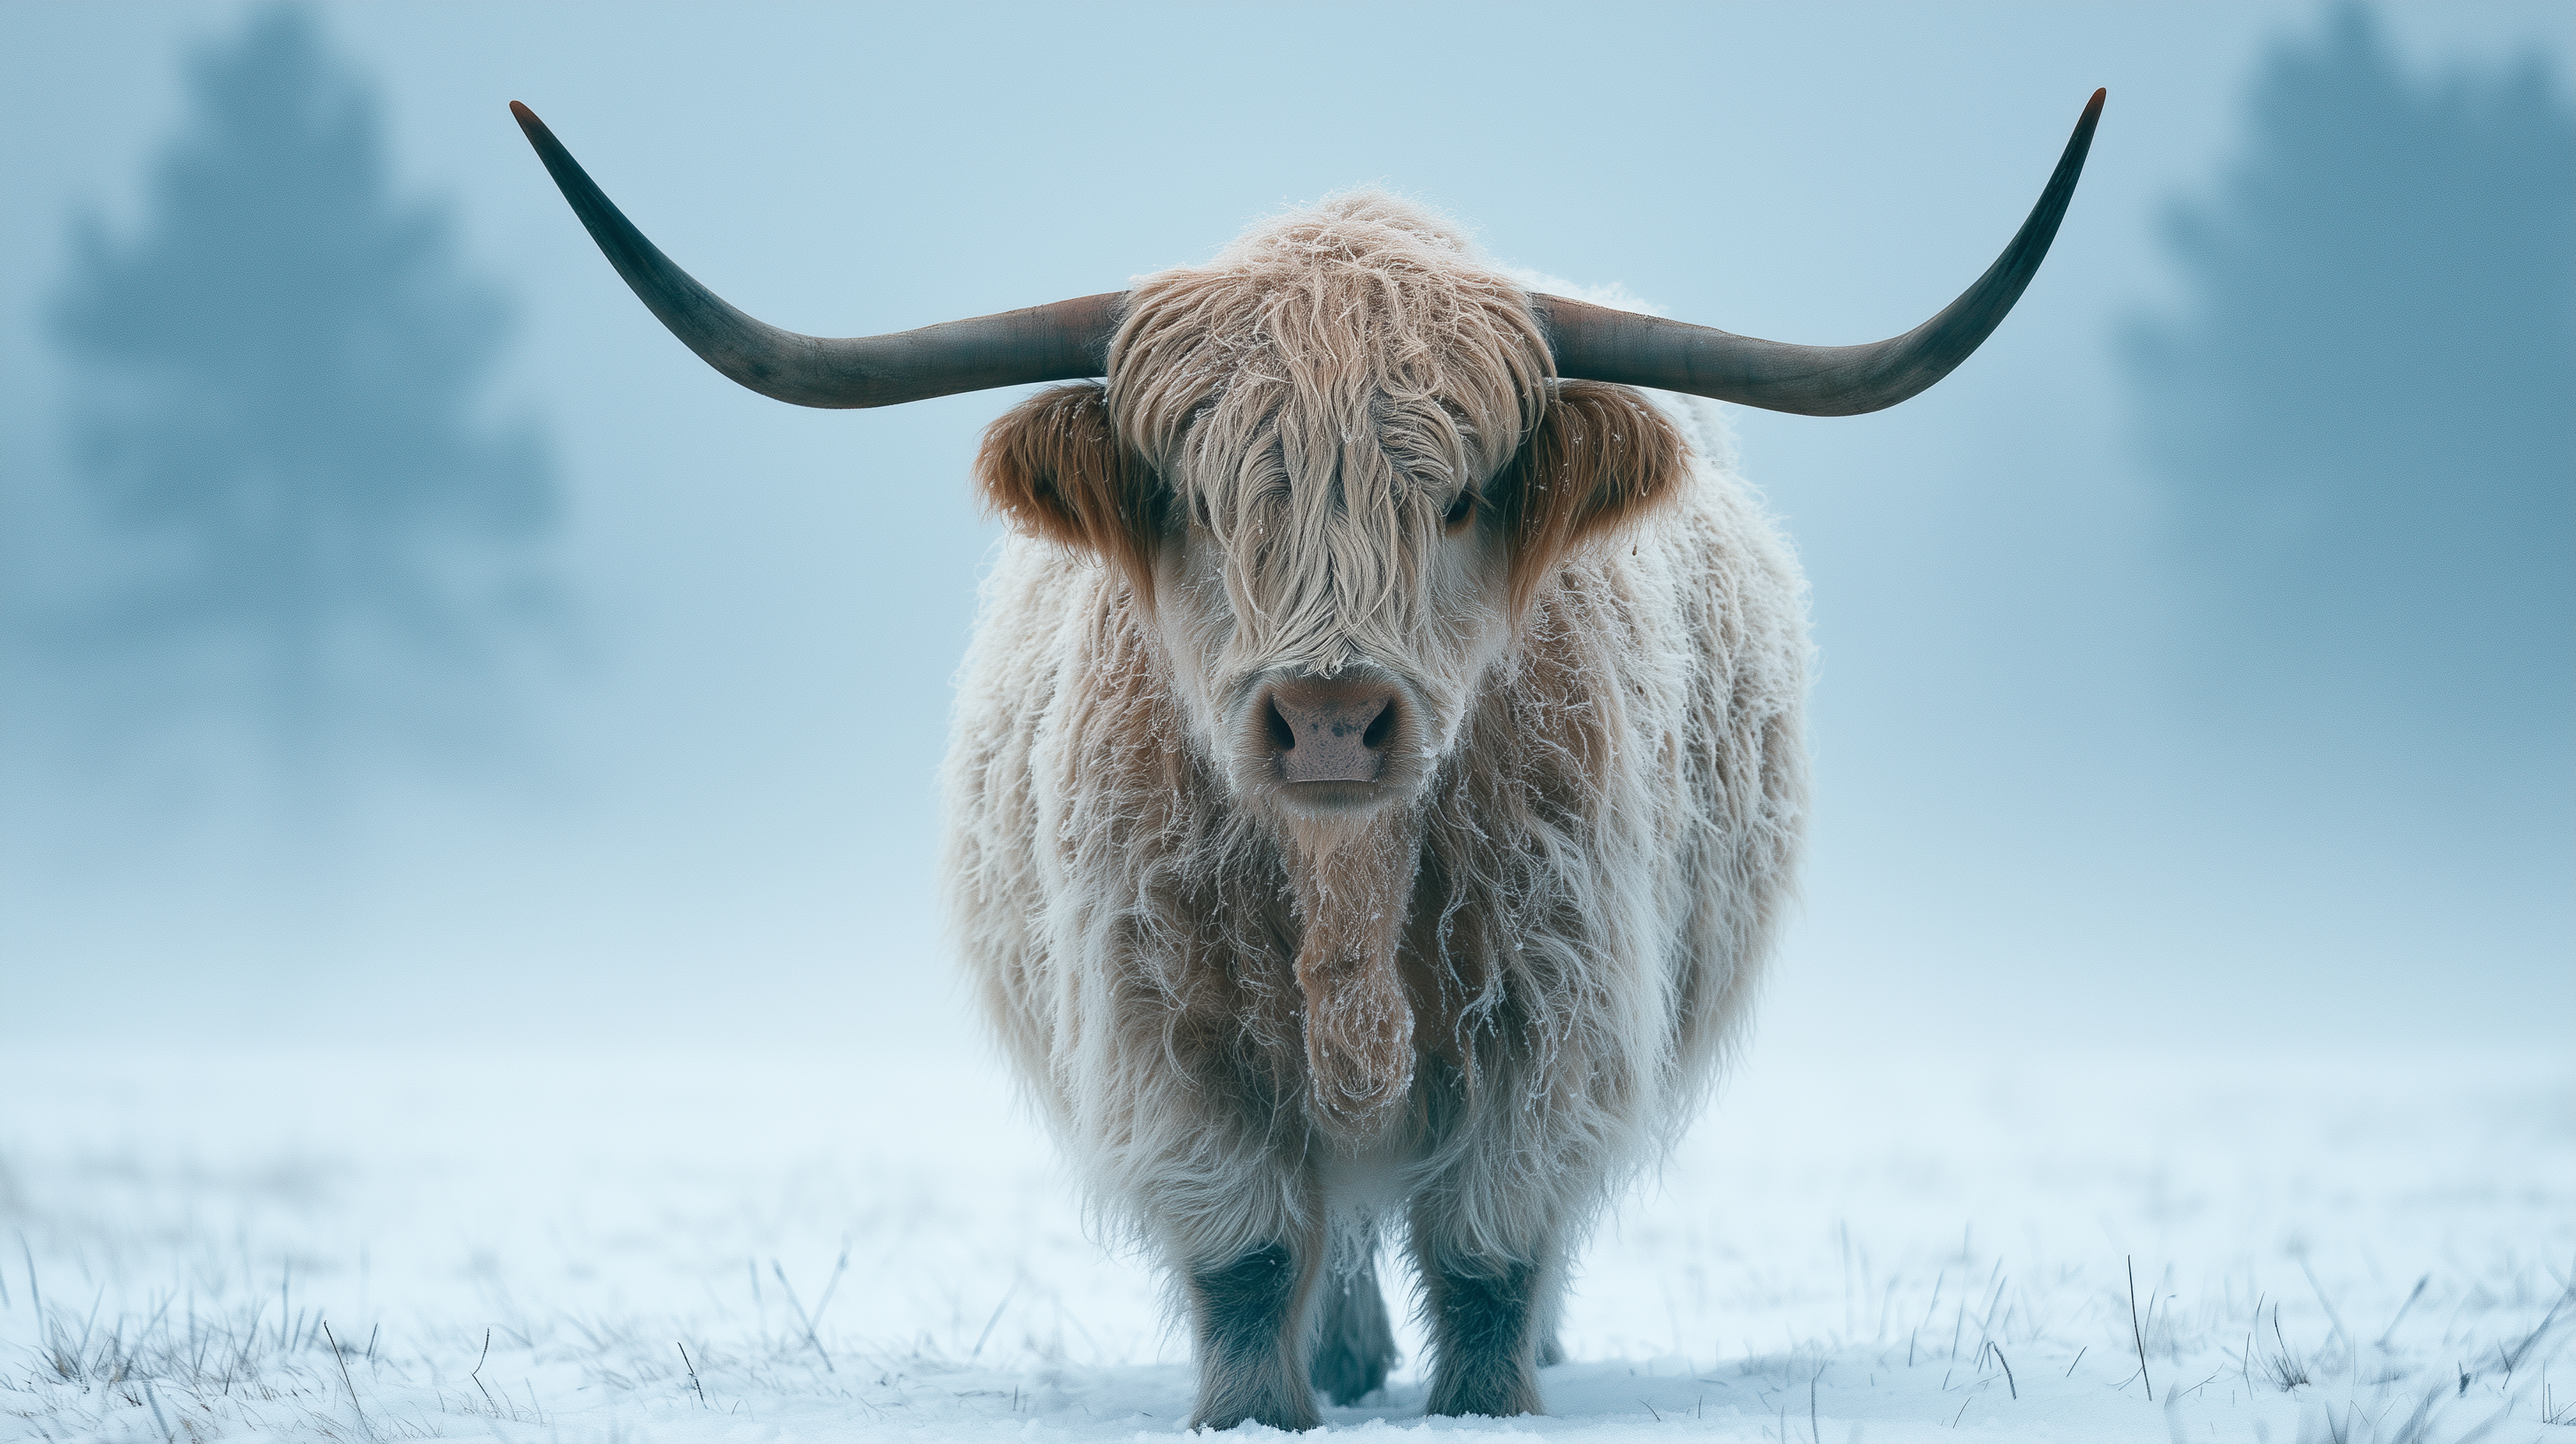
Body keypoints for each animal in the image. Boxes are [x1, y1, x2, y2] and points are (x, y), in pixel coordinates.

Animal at [512, 89, 2102, 1430]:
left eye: (1457, 498)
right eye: (1207, 500)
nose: (1332, 715)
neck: (1348, 892)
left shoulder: (1558, 1001)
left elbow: (1487, 1245)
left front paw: (1486, 1398)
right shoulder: (1164, 1021)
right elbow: (1250, 1246)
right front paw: (1253, 1410)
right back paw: (1338, 1360)